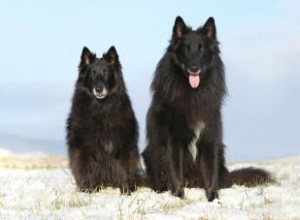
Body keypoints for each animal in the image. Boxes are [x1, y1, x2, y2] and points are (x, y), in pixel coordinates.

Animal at [66, 46, 140, 194]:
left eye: (106, 73)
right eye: (93, 73)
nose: (99, 89)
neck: (101, 109)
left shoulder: (122, 144)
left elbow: (123, 168)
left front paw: (125, 191)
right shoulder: (84, 147)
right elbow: (86, 168)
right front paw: (88, 190)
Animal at [142, 15, 270, 201]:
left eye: (201, 49)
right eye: (187, 49)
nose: (194, 68)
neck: (194, 93)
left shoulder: (210, 138)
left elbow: (210, 173)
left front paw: (213, 198)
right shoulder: (173, 141)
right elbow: (176, 173)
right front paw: (179, 196)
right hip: (150, 153)